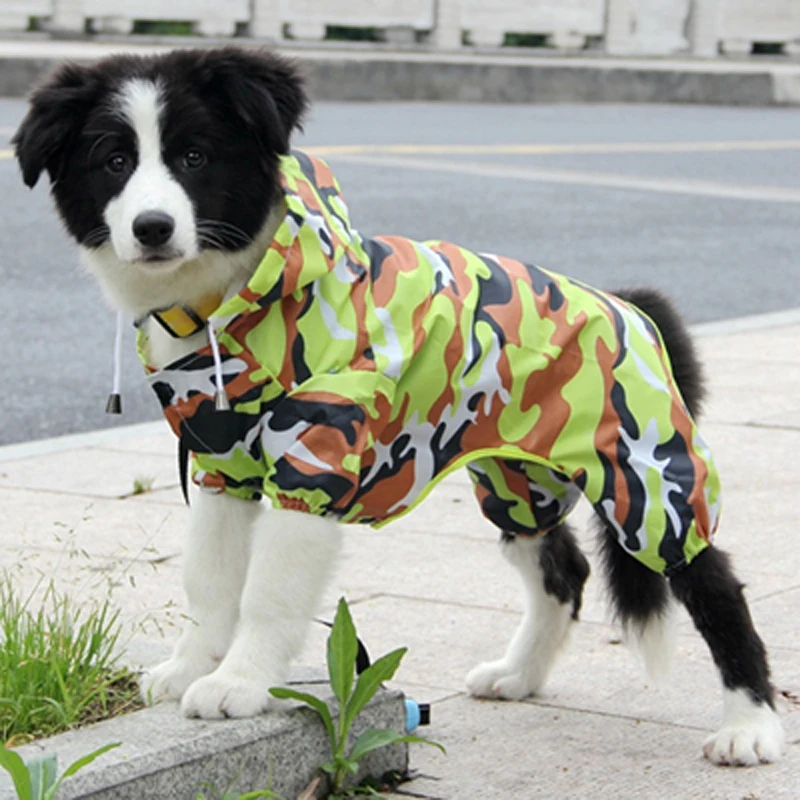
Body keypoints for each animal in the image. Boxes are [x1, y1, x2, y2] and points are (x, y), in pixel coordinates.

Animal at [14, 45, 788, 768]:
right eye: (114, 160)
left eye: (195, 156)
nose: (151, 227)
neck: (228, 305)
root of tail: (630, 308)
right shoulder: (220, 464)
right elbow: (207, 580)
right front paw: (186, 669)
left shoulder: (314, 457)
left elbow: (266, 592)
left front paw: (239, 684)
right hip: (517, 479)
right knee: (563, 571)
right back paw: (518, 675)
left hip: (644, 475)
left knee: (712, 581)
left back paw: (749, 727)